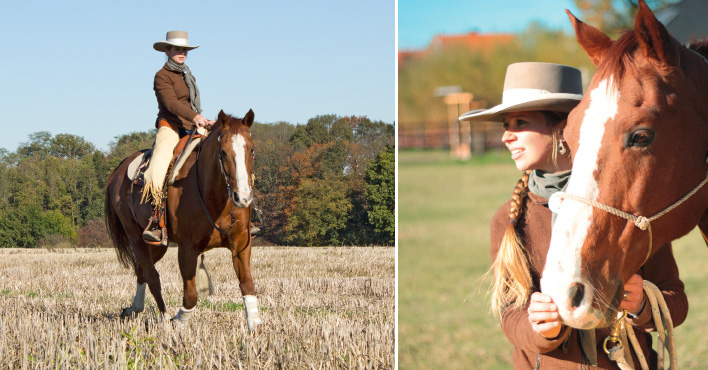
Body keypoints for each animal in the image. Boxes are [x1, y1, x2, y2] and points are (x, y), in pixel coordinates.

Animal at [103, 109, 262, 330]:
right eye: (222, 152)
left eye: (252, 150)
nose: (243, 198)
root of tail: (118, 171)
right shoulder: (187, 249)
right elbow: (191, 294)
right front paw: (179, 320)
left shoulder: (241, 243)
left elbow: (247, 284)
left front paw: (256, 325)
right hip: (135, 237)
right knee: (152, 276)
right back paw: (163, 317)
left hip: (156, 245)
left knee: (141, 270)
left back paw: (134, 308)